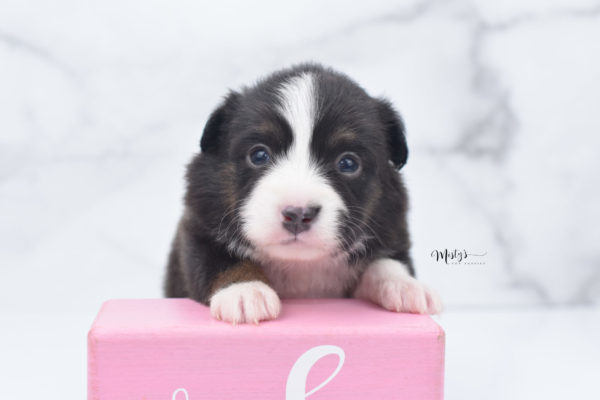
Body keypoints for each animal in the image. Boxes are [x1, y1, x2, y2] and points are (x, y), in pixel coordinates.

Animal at [164, 63, 440, 324]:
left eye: (348, 163)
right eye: (259, 155)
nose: (298, 214)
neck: (300, 263)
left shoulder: (392, 229)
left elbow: (387, 262)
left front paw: (407, 286)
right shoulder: (198, 227)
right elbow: (220, 259)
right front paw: (245, 291)